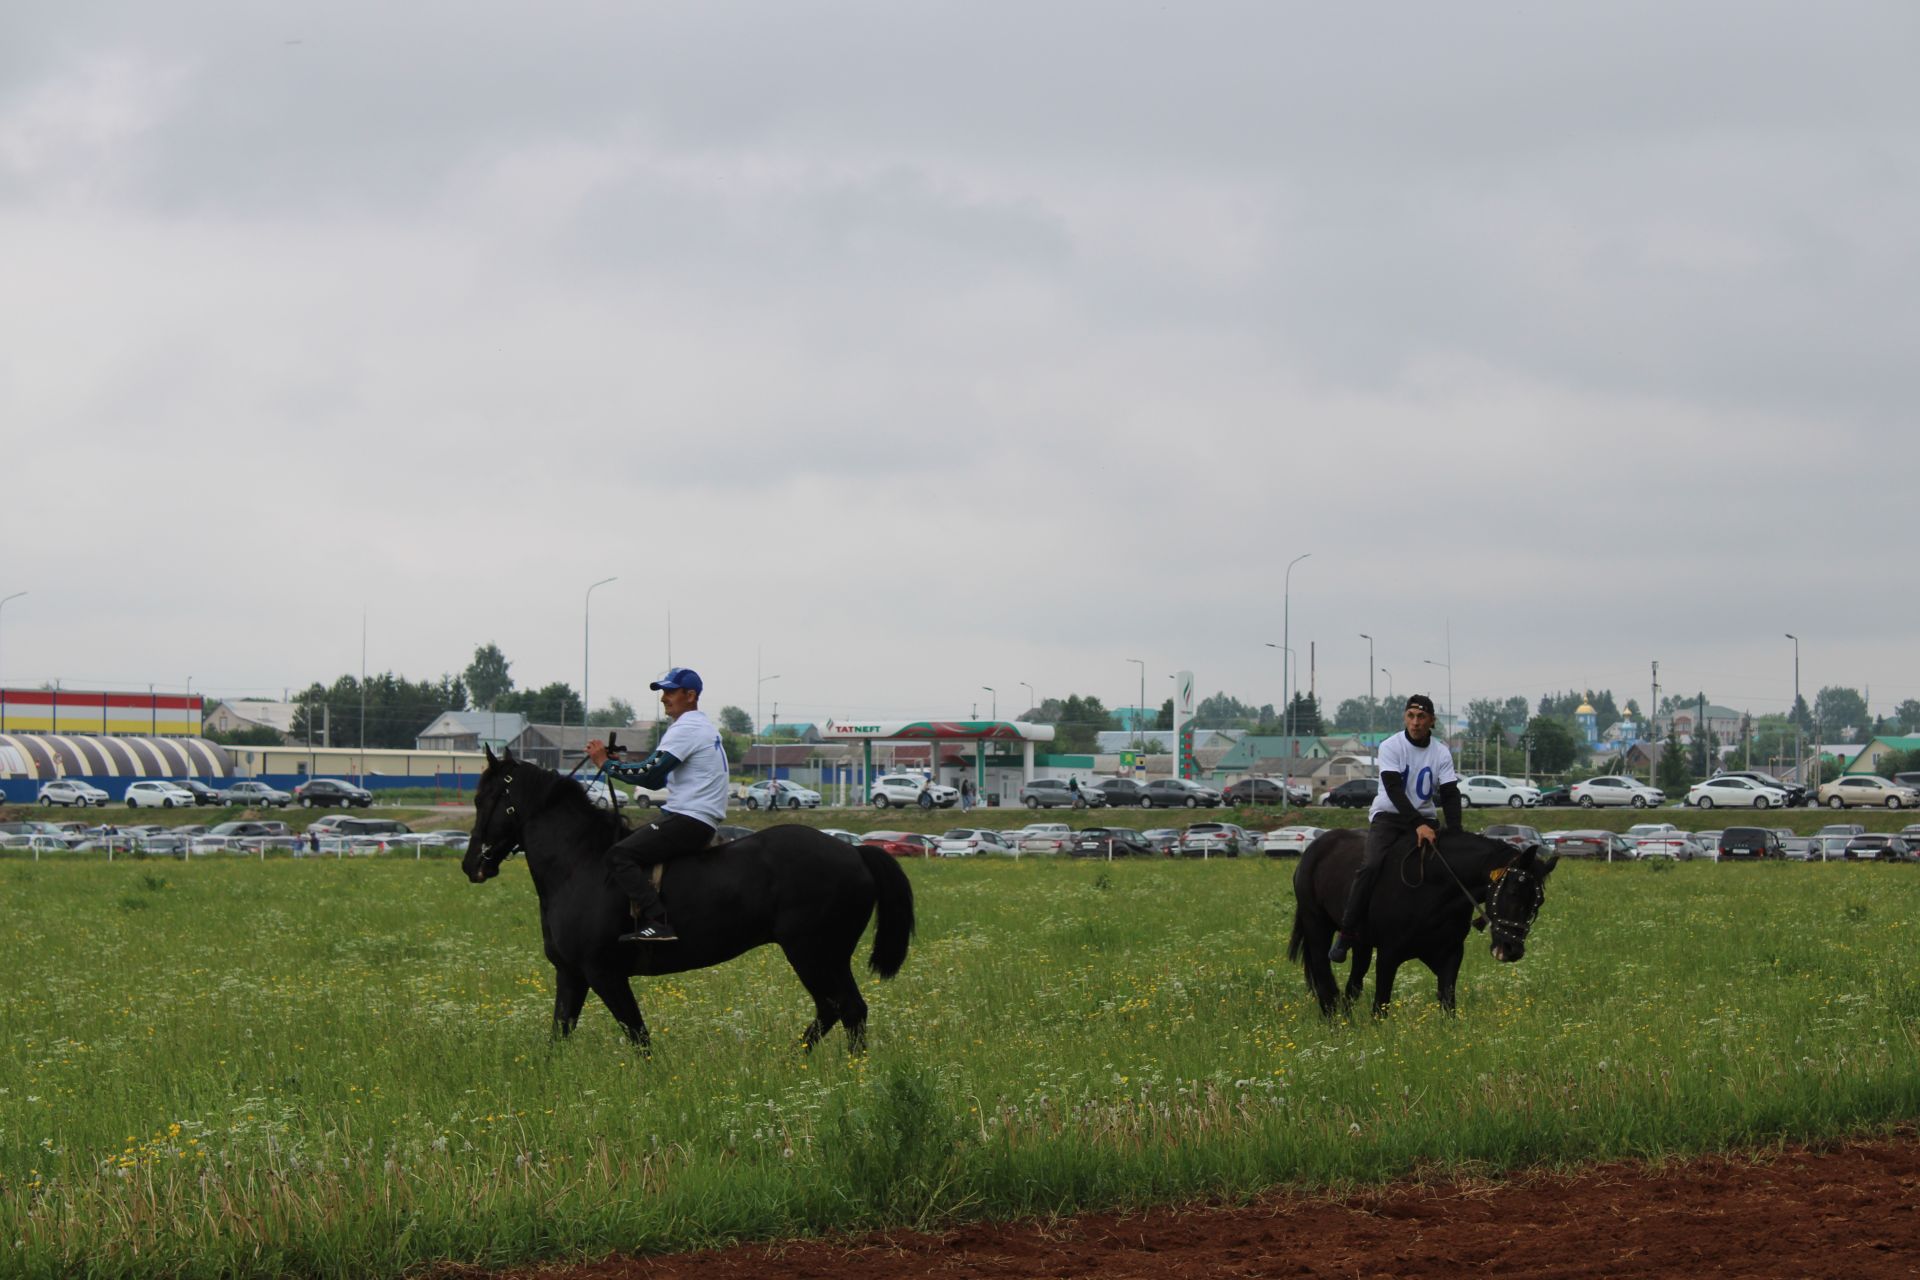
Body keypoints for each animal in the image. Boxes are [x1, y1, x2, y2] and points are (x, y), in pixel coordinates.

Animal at [462, 752, 913, 1051]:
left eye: (484, 799)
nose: (471, 865)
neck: (578, 863)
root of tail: (855, 851)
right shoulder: (571, 974)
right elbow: (560, 1035)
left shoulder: (604, 973)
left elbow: (638, 1036)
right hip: (829, 957)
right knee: (845, 1009)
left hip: (811, 953)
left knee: (842, 1008)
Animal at [1282, 832, 1551, 1020]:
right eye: (1514, 891)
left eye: (1538, 901)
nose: (1511, 949)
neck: (1434, 888)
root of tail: (1315, 847)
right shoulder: (1389, 955)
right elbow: (1381, 1006)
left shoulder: (1449, 954)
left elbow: (1448, 1002)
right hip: (1316, 924)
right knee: (1324, 974)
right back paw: (1332, 1020)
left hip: (1361, 943)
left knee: (1354, 984)